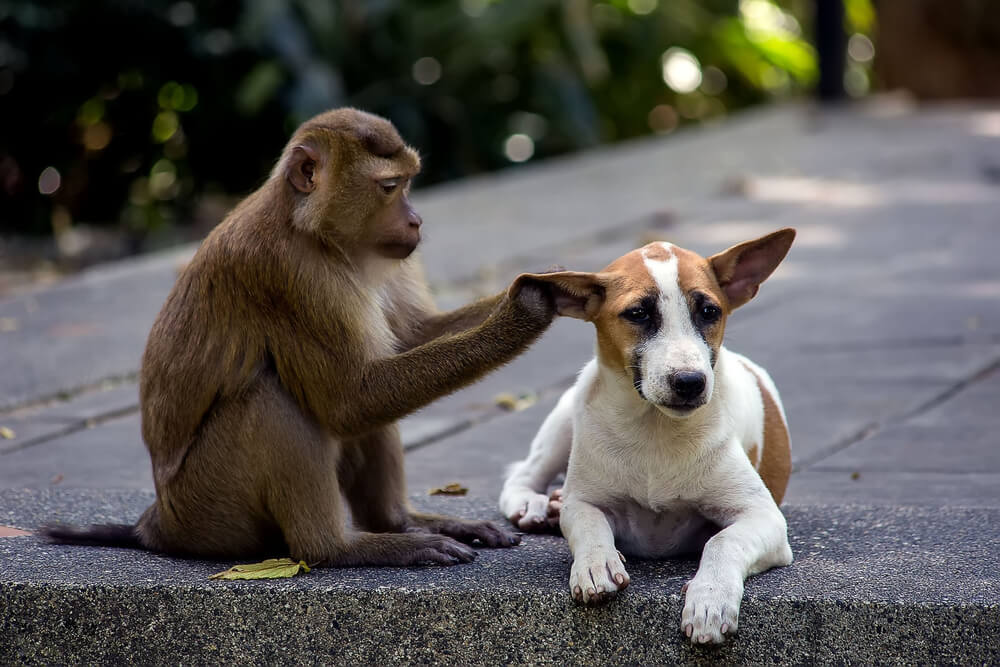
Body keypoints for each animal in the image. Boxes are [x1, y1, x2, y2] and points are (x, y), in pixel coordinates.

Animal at [43, 109, 568, 568]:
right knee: (273, 396)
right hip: (211, 507)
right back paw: (341, 548)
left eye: (409, 183)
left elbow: (407, 341)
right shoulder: (289, 277)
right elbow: (349, 399)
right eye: (390, 186)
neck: (316, 233)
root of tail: (157, 524)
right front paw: (521, 314)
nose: (416, 219)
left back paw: (398, 522)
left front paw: (543, 284)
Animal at [500, 227, 796, 644]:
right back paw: (535, 503)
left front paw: (710, 598)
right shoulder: (584, 501)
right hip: (564, 420)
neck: (655, 428)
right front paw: (595, 564)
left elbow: (723, 541)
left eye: (710, 311)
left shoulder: (764, 517)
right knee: (524, 473)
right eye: (638, 313)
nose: (690, 382)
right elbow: (587, 522)